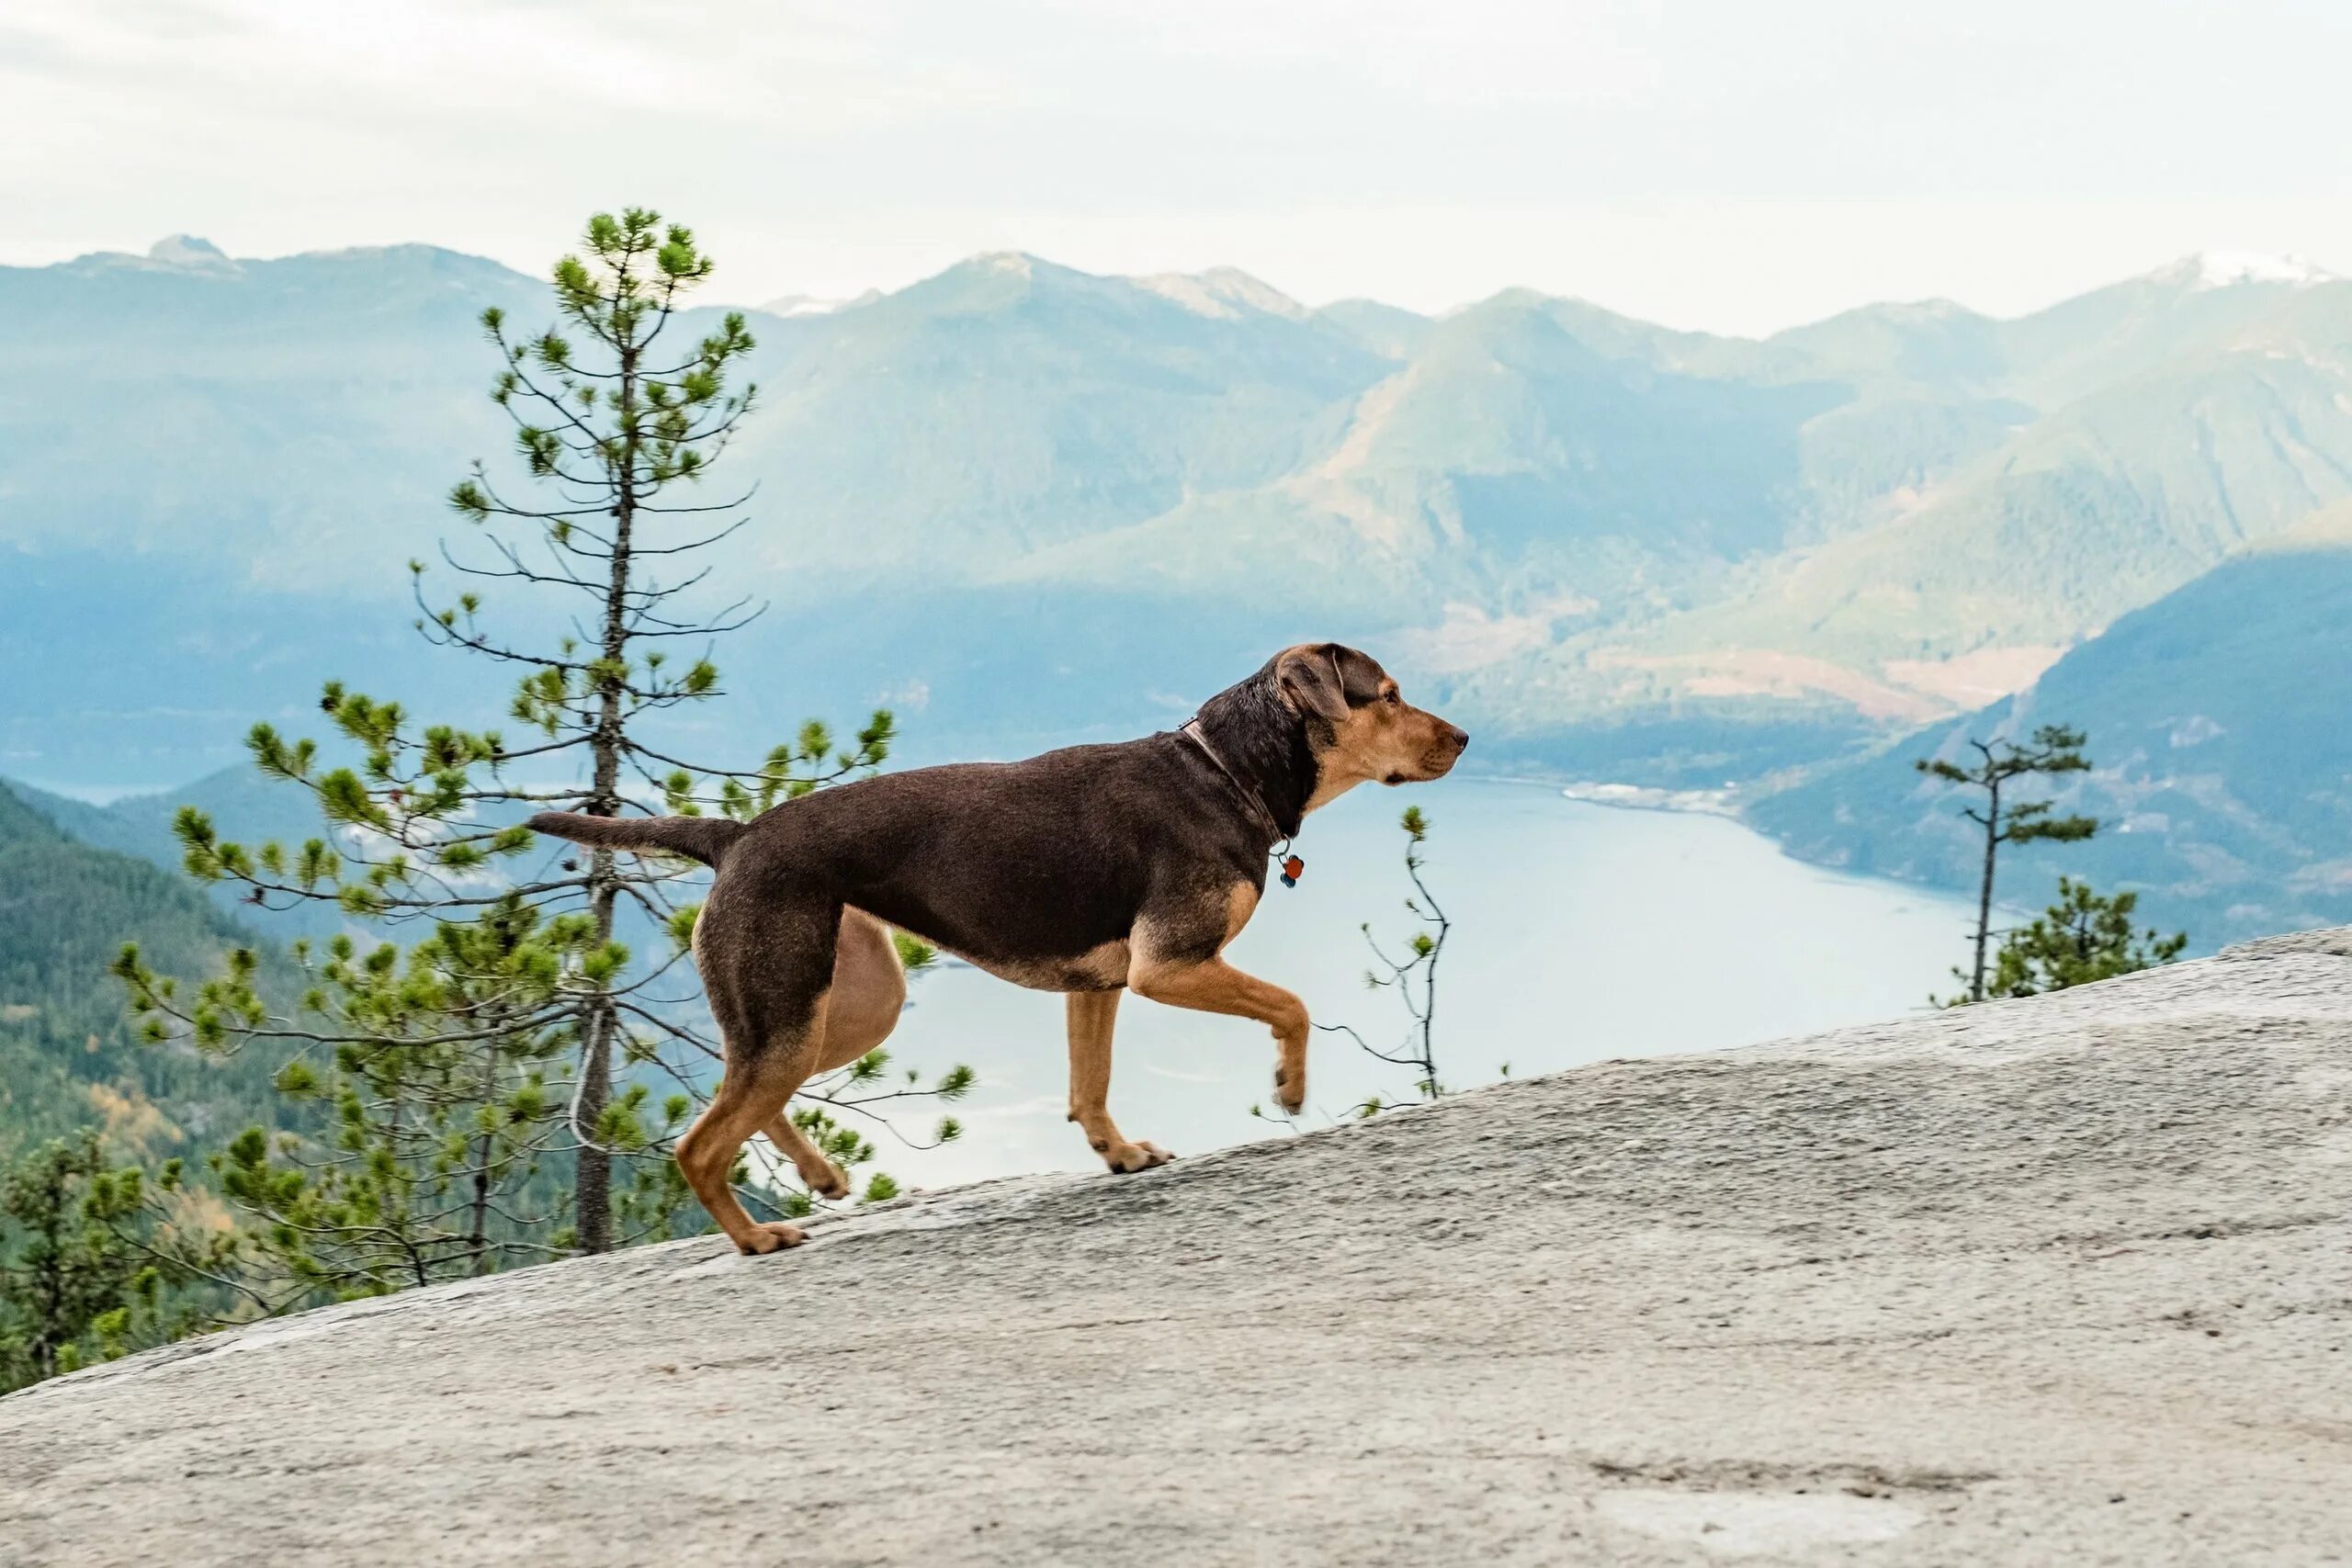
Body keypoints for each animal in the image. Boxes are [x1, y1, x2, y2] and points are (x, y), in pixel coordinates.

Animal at [529, 639, 1467, 1250]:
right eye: (1387, 693)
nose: (1462, 738)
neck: (1224, 771)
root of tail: (735, 837)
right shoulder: (1171, 965)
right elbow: (1294, 1005)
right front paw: (1289, 1085)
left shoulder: (1101, 985)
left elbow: (1090, 1089)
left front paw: (1120, 1154)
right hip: (793, 1006)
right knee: (699, 1142)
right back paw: (756, 1237)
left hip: (847, 1007)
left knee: (751, 1099)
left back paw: (821, 1177)